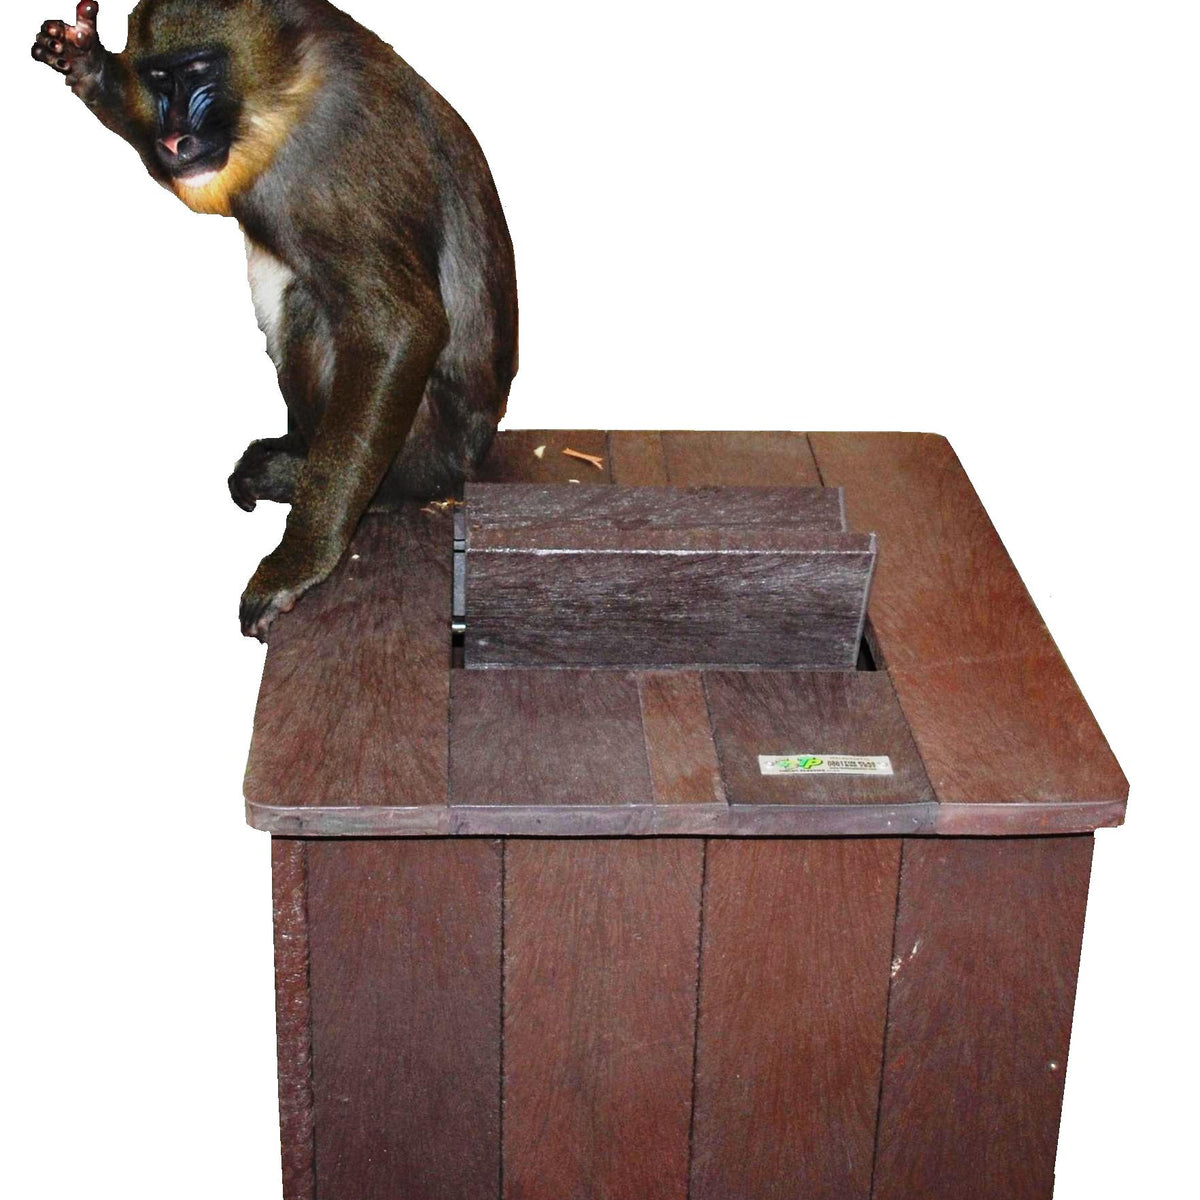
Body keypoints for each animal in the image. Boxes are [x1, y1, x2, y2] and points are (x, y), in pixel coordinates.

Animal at [32, 0, 517, 639]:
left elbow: (399, 328)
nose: (175, 137)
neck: (284, 81)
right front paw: (88, 63)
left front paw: (298, 563)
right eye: (160, 79)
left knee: (310, 305)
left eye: (199, 71)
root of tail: (472, 455)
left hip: (427, 450)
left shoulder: (331, 155)